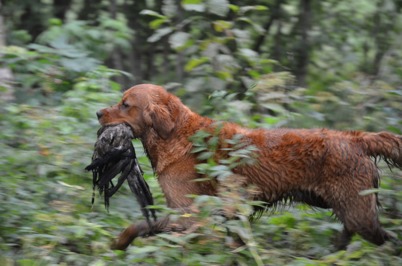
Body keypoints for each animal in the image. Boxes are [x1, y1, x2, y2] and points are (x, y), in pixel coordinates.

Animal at [95, 84, 402, 250]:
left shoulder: (189, 215)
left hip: (359, 214)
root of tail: (356, 138)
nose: (98, 112)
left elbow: (144, 226)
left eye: (125, 104)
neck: (176, 134)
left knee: (388, 239)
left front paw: (120, 243)